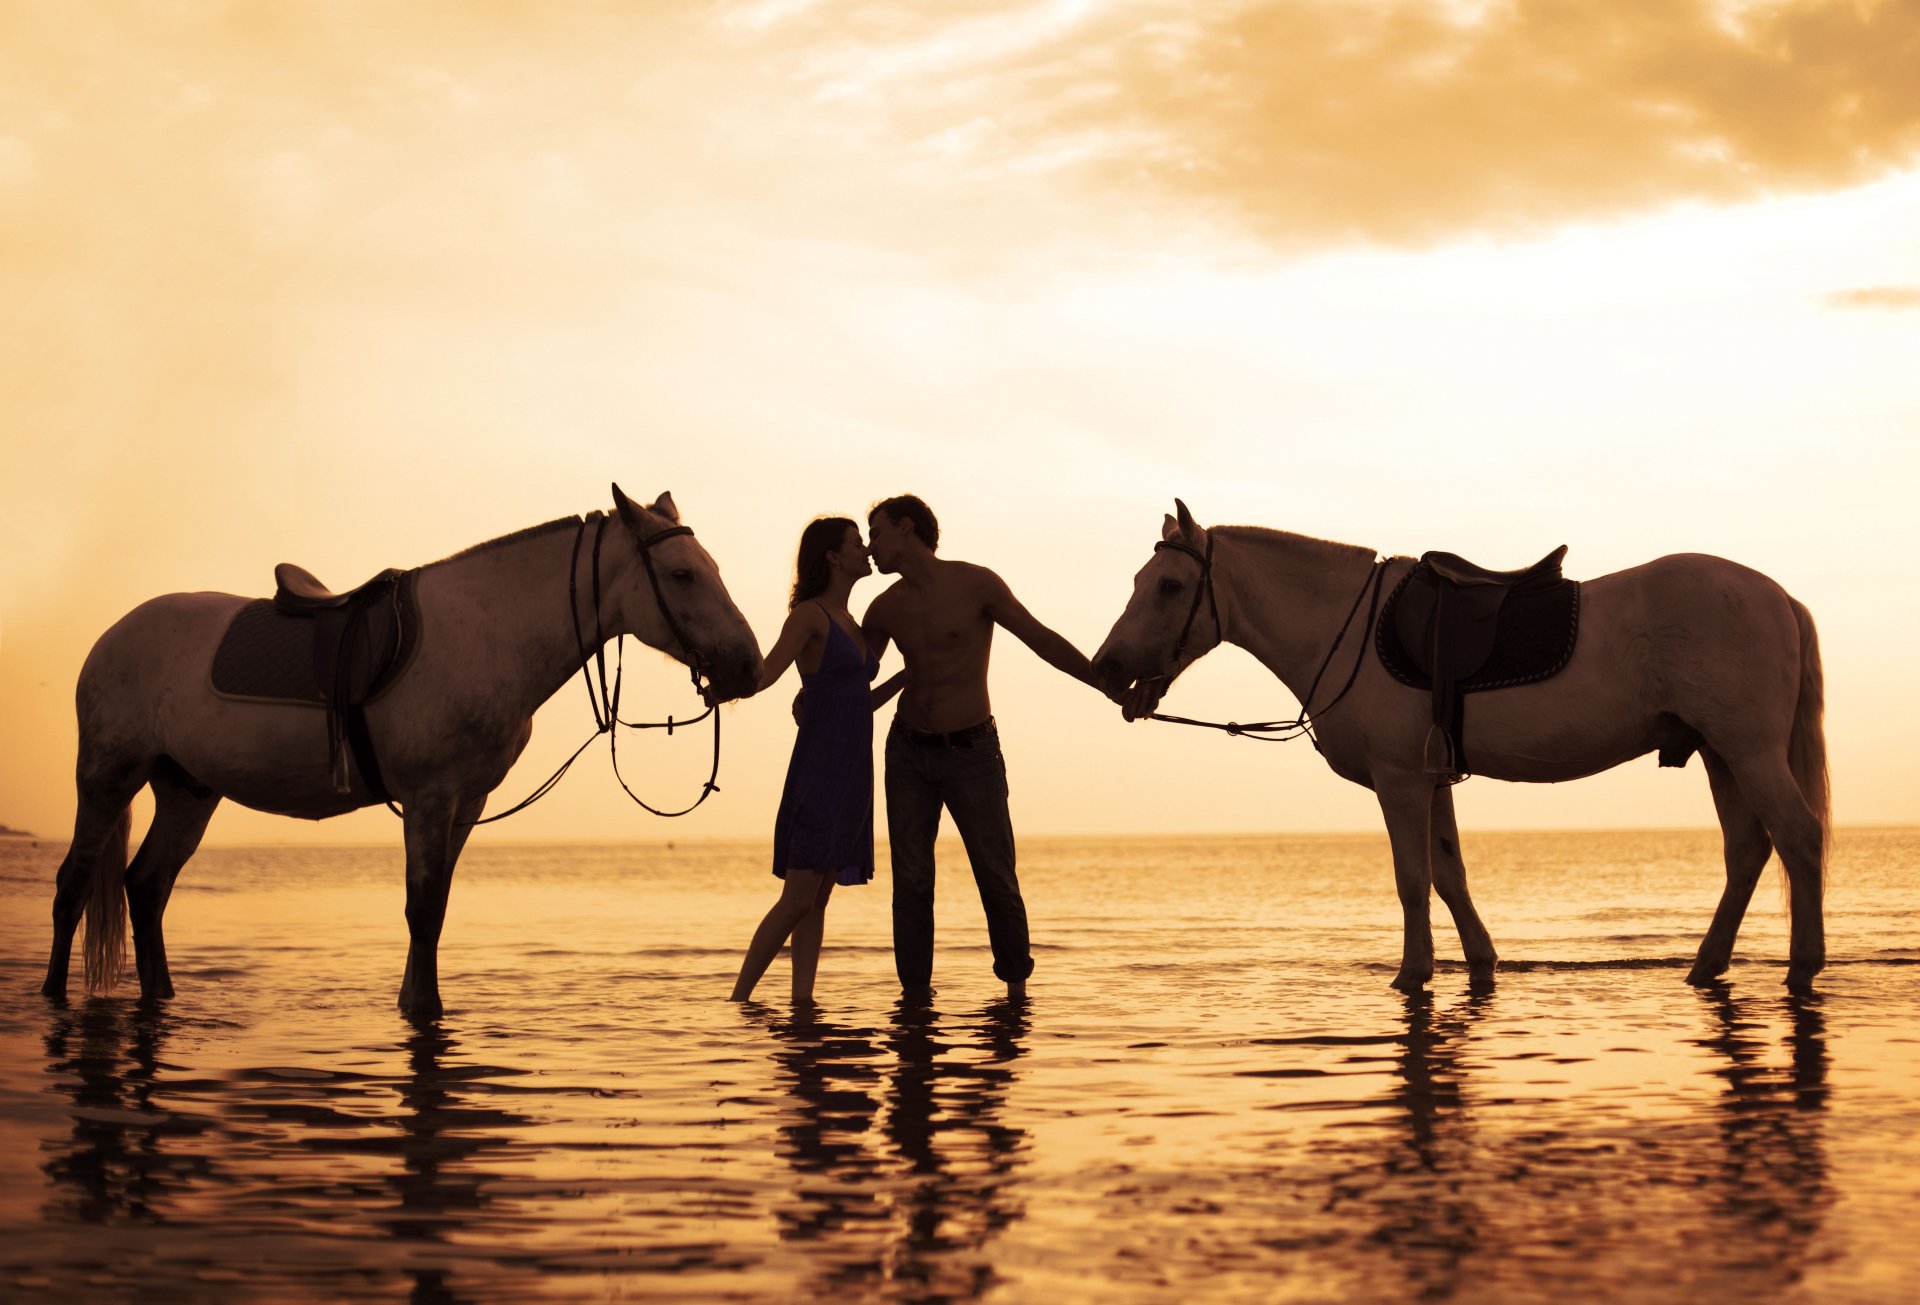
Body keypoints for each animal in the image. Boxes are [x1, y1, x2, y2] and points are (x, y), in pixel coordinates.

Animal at [42, 485, 763, 1019]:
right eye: (681, 574)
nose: (748, 667)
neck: (489, 633)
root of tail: (113, 635)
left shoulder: (465, 801)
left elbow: (436, 906)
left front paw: (420, 1002)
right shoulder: (429, 797)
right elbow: (421, 907)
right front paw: (422, 1008)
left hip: (188, 790)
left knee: (147, 885)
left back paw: (162, 996)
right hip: (107, 777)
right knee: (74, 883)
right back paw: (52, 995)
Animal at [1092, 500, 1829, 994]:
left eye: (1169, 586)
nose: (1106, 666)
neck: (1343, 626)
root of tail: (1778, 596)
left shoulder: (1399, 780)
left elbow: (1413, 878)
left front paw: (1412, 972)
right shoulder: (1434, 777)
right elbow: (1450, 873)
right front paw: (1480, 960)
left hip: (1749, 750)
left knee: (1798, 836)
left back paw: (1803, 964)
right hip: (1720, 753)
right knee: (1747, 852)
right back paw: (1706, 964)